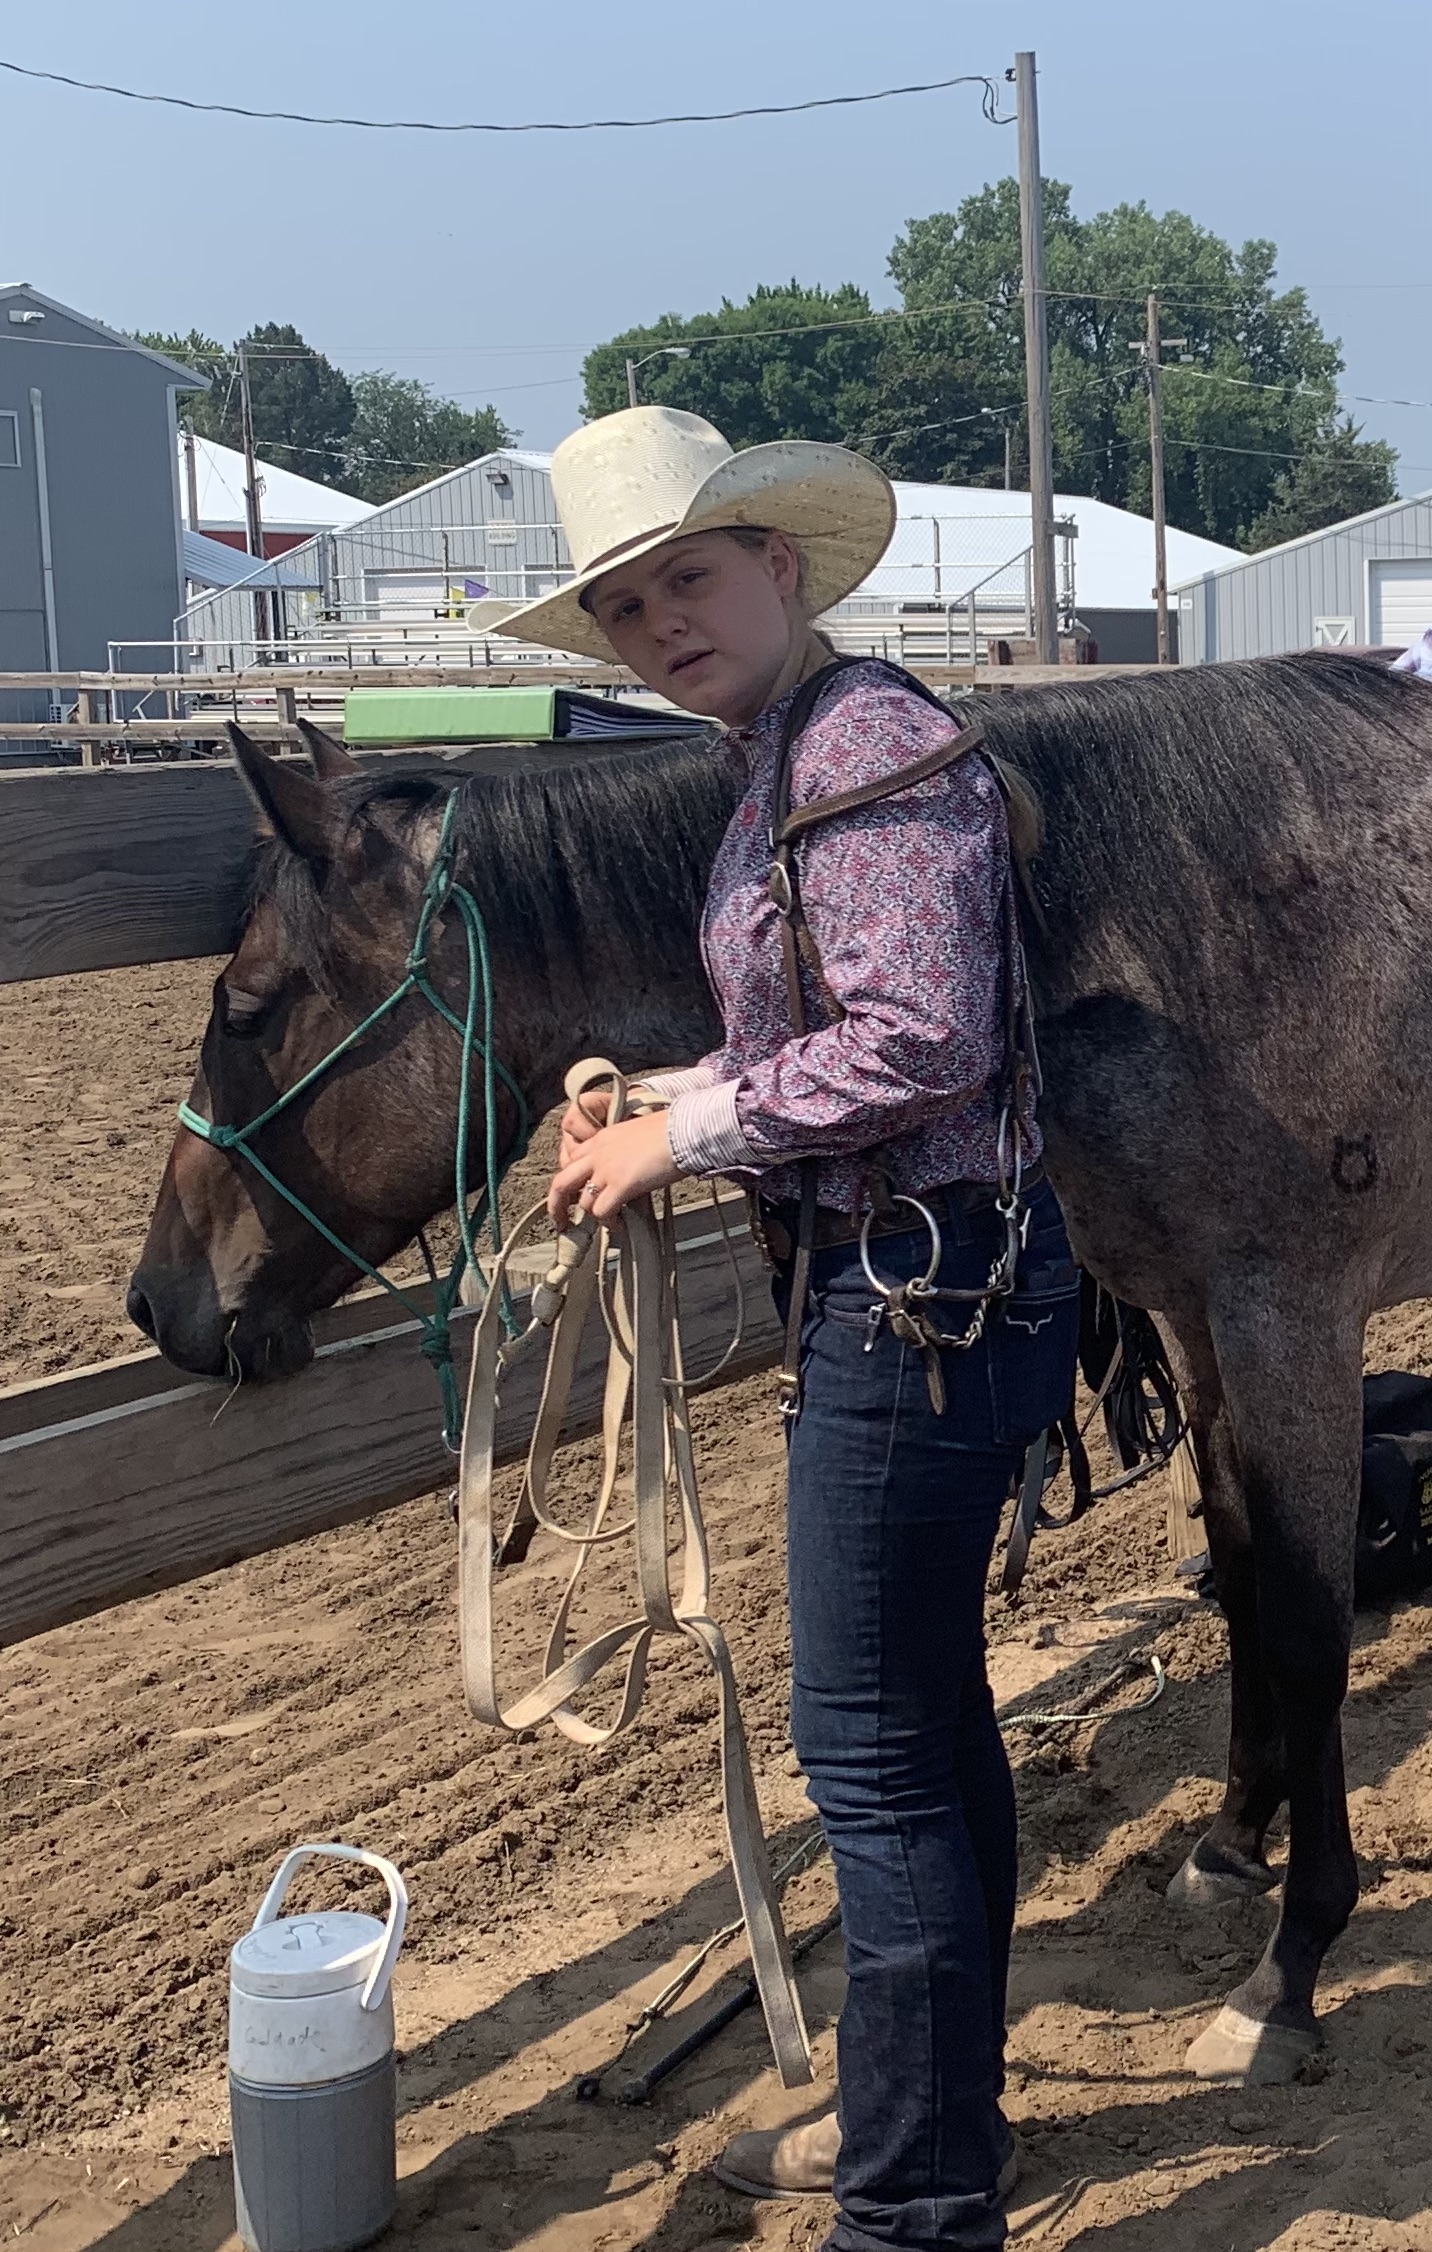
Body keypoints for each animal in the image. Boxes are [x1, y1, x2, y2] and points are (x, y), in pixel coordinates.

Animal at [131, 657, 1432, 2089]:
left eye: (247, 1006)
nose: (161, 1300)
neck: (1171, 928)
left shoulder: (1289, 1321)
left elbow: (1307, 1622)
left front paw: (1291, 1959)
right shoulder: (1196, 1320)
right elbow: (1243, 1571)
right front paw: (1230, 1841)